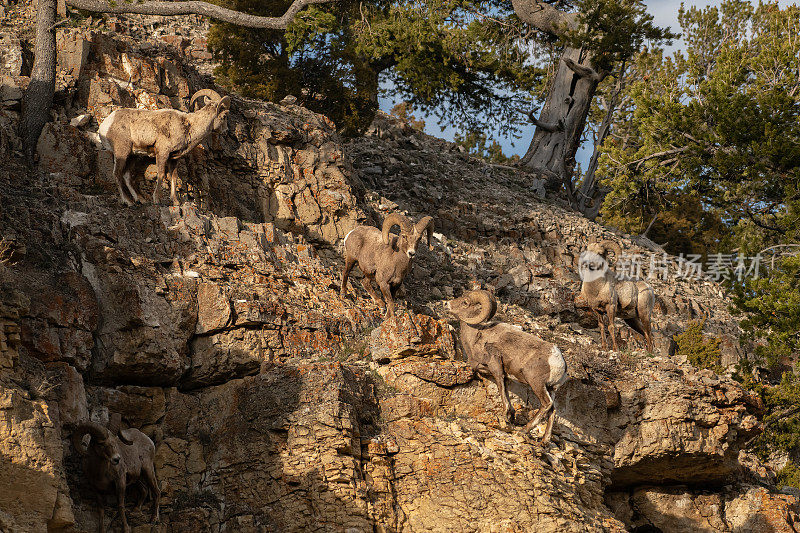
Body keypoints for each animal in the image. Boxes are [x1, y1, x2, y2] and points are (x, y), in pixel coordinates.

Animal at [96, 89, 231, 206]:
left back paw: (140, 200)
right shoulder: (162, 153)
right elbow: (161, 174)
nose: (225, 131)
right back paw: (128, 202)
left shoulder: (174, 158)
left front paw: (176, 202)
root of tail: (105, 125)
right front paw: (157, 200)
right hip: (122, 153)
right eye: (224, 116)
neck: (188, 126)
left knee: (127, 176)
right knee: (117, 174)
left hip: (133, 155)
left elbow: (173, 178)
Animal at [446, 288, 564, 442]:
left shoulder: (495, 365)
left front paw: (506, 414)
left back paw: (524, 430)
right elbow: (505, 389)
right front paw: (511, 415)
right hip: (551, 389)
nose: (447, 304)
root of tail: (559, 362)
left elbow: (500, 385)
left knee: (546, 404)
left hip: (537, 384)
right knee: (553, 410)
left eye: (465, 302)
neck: (477, 336)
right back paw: (544, 441)